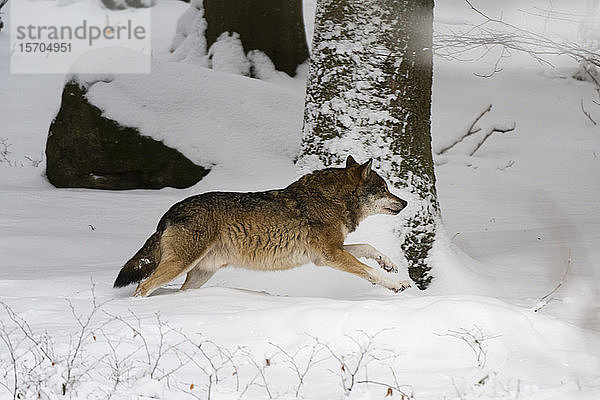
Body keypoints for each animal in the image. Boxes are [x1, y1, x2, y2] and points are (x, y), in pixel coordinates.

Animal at [114, 156, 410, 296]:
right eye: (384, 189)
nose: (405, 202)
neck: (331, 199)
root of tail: (170, 210)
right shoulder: (331, 255)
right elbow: (368, 271)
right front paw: (396, 285)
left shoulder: (324, 256)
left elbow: (368, 247)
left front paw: (389, 264)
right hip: (181, 265)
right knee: (142, 288)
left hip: (199, 274)